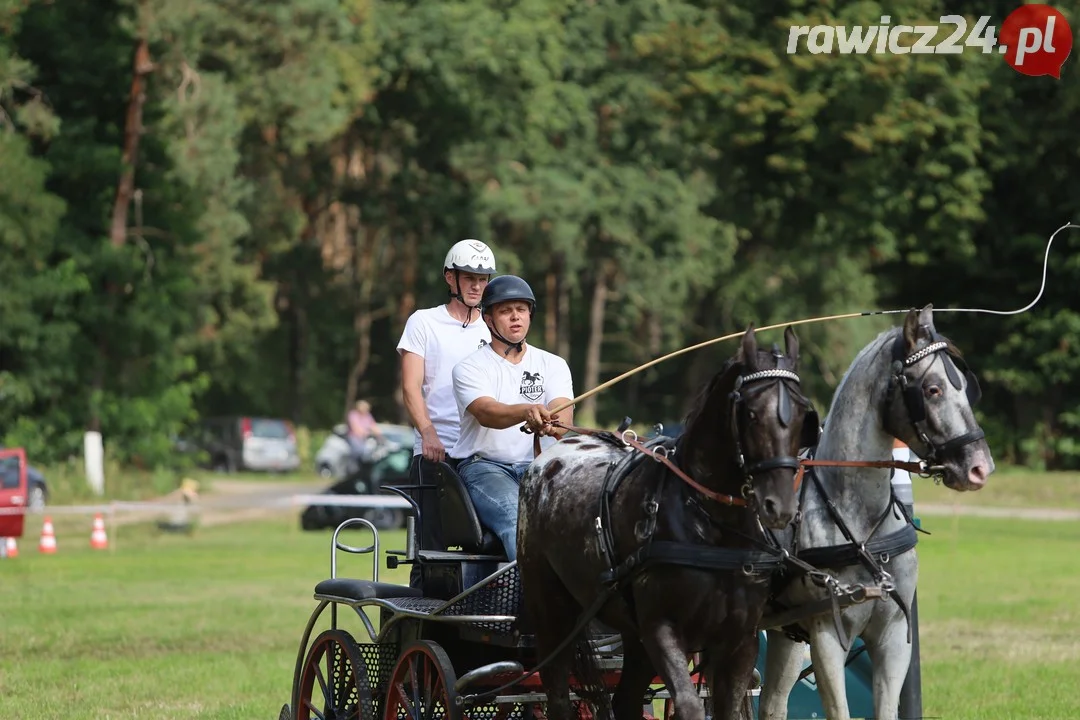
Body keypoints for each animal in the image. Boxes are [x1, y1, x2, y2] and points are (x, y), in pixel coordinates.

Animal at [760, 306, 993, 720]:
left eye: (966, 388)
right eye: (932, 390)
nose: (980, 467)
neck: (862, 523)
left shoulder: (893, 636)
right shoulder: (826, 634)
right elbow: (839, 711)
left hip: (784, 634)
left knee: (771, 703)